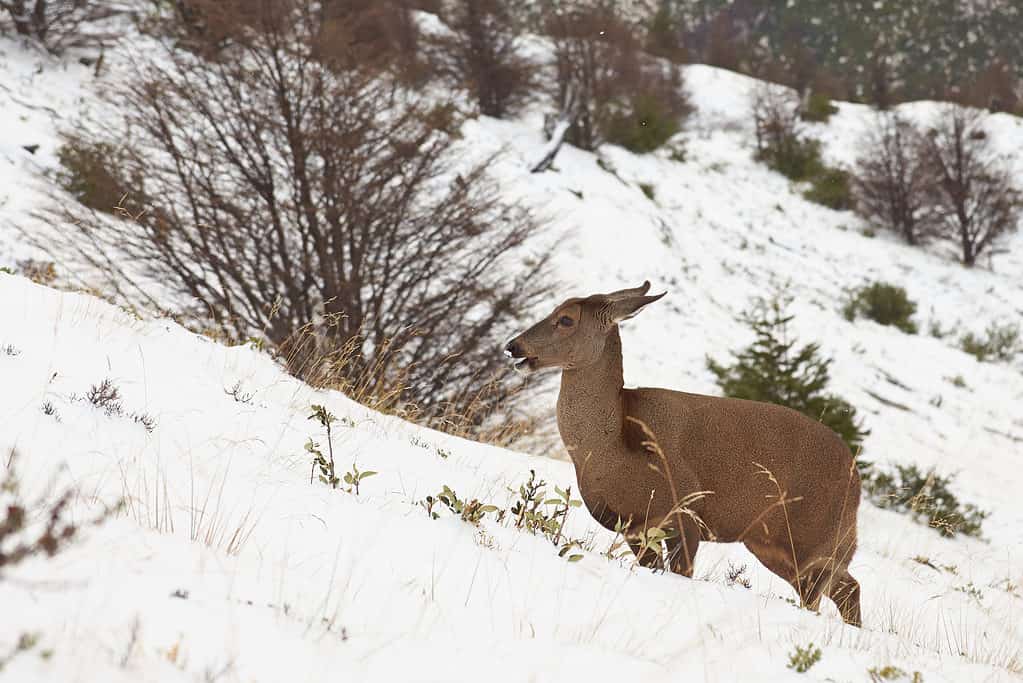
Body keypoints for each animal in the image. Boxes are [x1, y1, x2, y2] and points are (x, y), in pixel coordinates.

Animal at [503, 280, 863, 625]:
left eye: (566, 319)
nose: (513, 345)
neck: (612, 448)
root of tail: (856, 476)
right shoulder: (635, 526)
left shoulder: (685, 509)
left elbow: (682, 573)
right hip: (775, 544)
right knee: (848, 588)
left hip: (814, 538)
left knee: (820, 596)